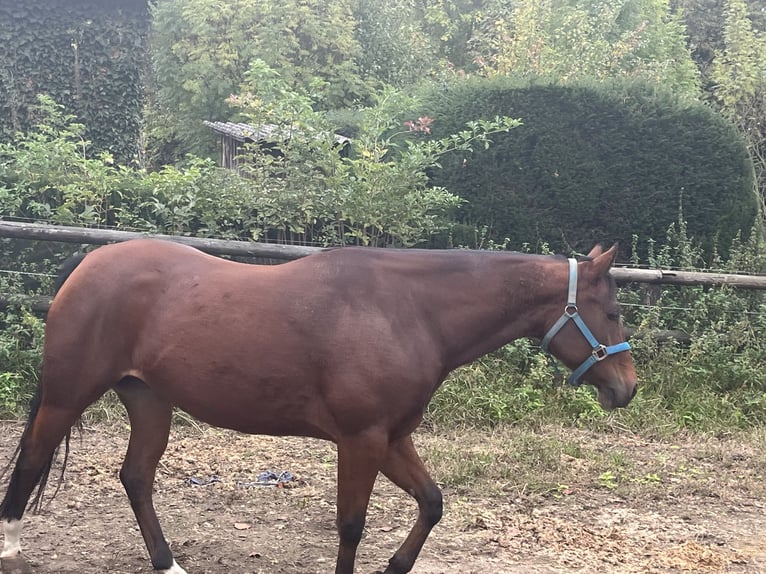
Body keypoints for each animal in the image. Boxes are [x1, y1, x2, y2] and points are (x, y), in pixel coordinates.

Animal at [0, 240, 637, 574]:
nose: (626, 387)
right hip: (68, 394)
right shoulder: (360, 440)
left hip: (150, 402)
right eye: (612, 312)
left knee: (134, 477)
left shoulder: (392, 438)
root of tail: (88, 263)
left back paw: (169, 563)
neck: (407, 311)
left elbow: (432, 504)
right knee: (29, 462)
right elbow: (351, 525)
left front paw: (396, 567)